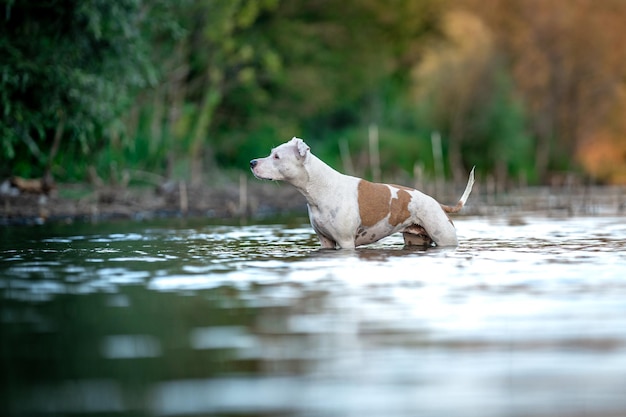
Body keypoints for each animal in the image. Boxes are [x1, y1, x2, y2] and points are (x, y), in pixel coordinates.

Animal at [249, 136, 472, 249]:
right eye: (271, 153)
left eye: (277, 157)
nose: (252, 162)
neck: (320, 188)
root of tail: (438, 203)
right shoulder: (325, 241)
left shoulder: (345, 242)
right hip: (415, 239)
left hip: (445, 239)